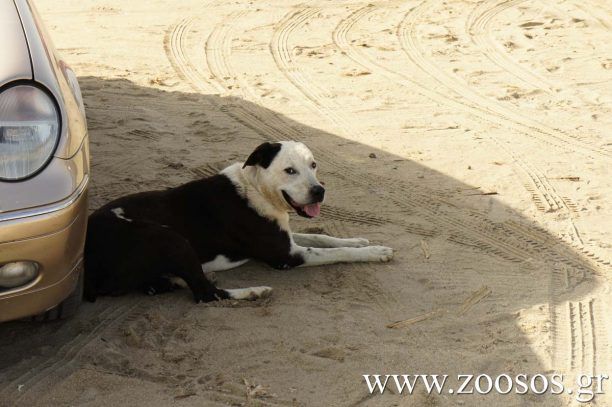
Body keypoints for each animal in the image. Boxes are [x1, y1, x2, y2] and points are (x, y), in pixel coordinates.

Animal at [83, 140, 394, 302]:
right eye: (289, 170)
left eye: (313, 165)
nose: (319, 191)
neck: (255, 188)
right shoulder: (285, 256)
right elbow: (336, 252)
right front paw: (375, 251)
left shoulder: (285, 236)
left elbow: (323, 237)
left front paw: (359, 240)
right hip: (171, 238)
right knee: (206, 294)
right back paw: (255, 291)